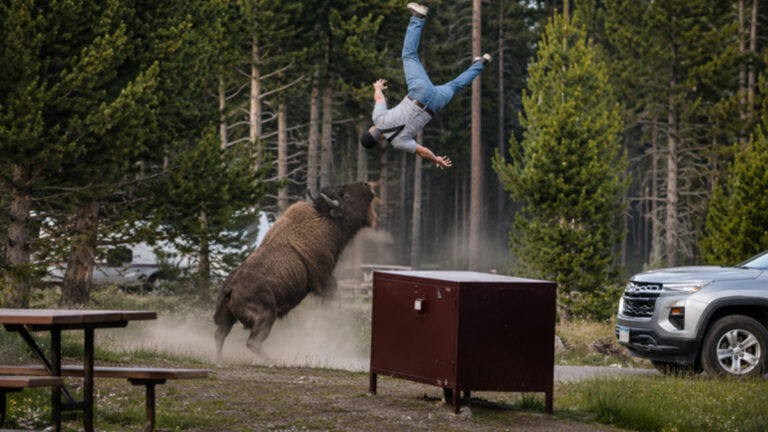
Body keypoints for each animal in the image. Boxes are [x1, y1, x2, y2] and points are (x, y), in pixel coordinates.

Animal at [214, 181, 376, 360]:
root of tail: (230, 289)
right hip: (266, 317)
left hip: (227, 318)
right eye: (345, 196)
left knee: (220, 335)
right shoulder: (324, 282)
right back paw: (273, 360)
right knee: (253, 342)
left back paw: (220, 359)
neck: (325, 221)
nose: (367, 185)